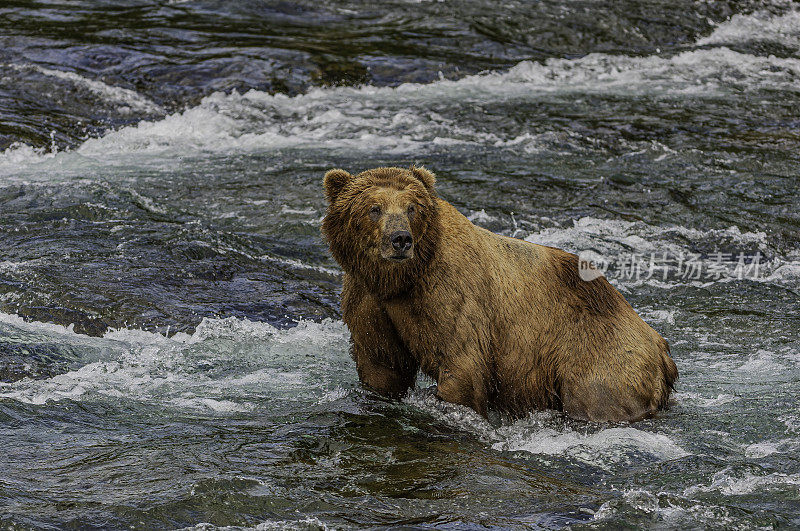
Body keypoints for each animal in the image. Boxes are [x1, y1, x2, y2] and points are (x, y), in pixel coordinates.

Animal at [318, 166, 676, 424]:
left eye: (412, 207)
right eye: (374, 208)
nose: (401, 239)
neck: (400, 280)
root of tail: (660, 345)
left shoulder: (450, 294)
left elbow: (461, 363)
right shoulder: (368, 299)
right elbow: (382, 365)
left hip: (596, 353)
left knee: (597, 398)